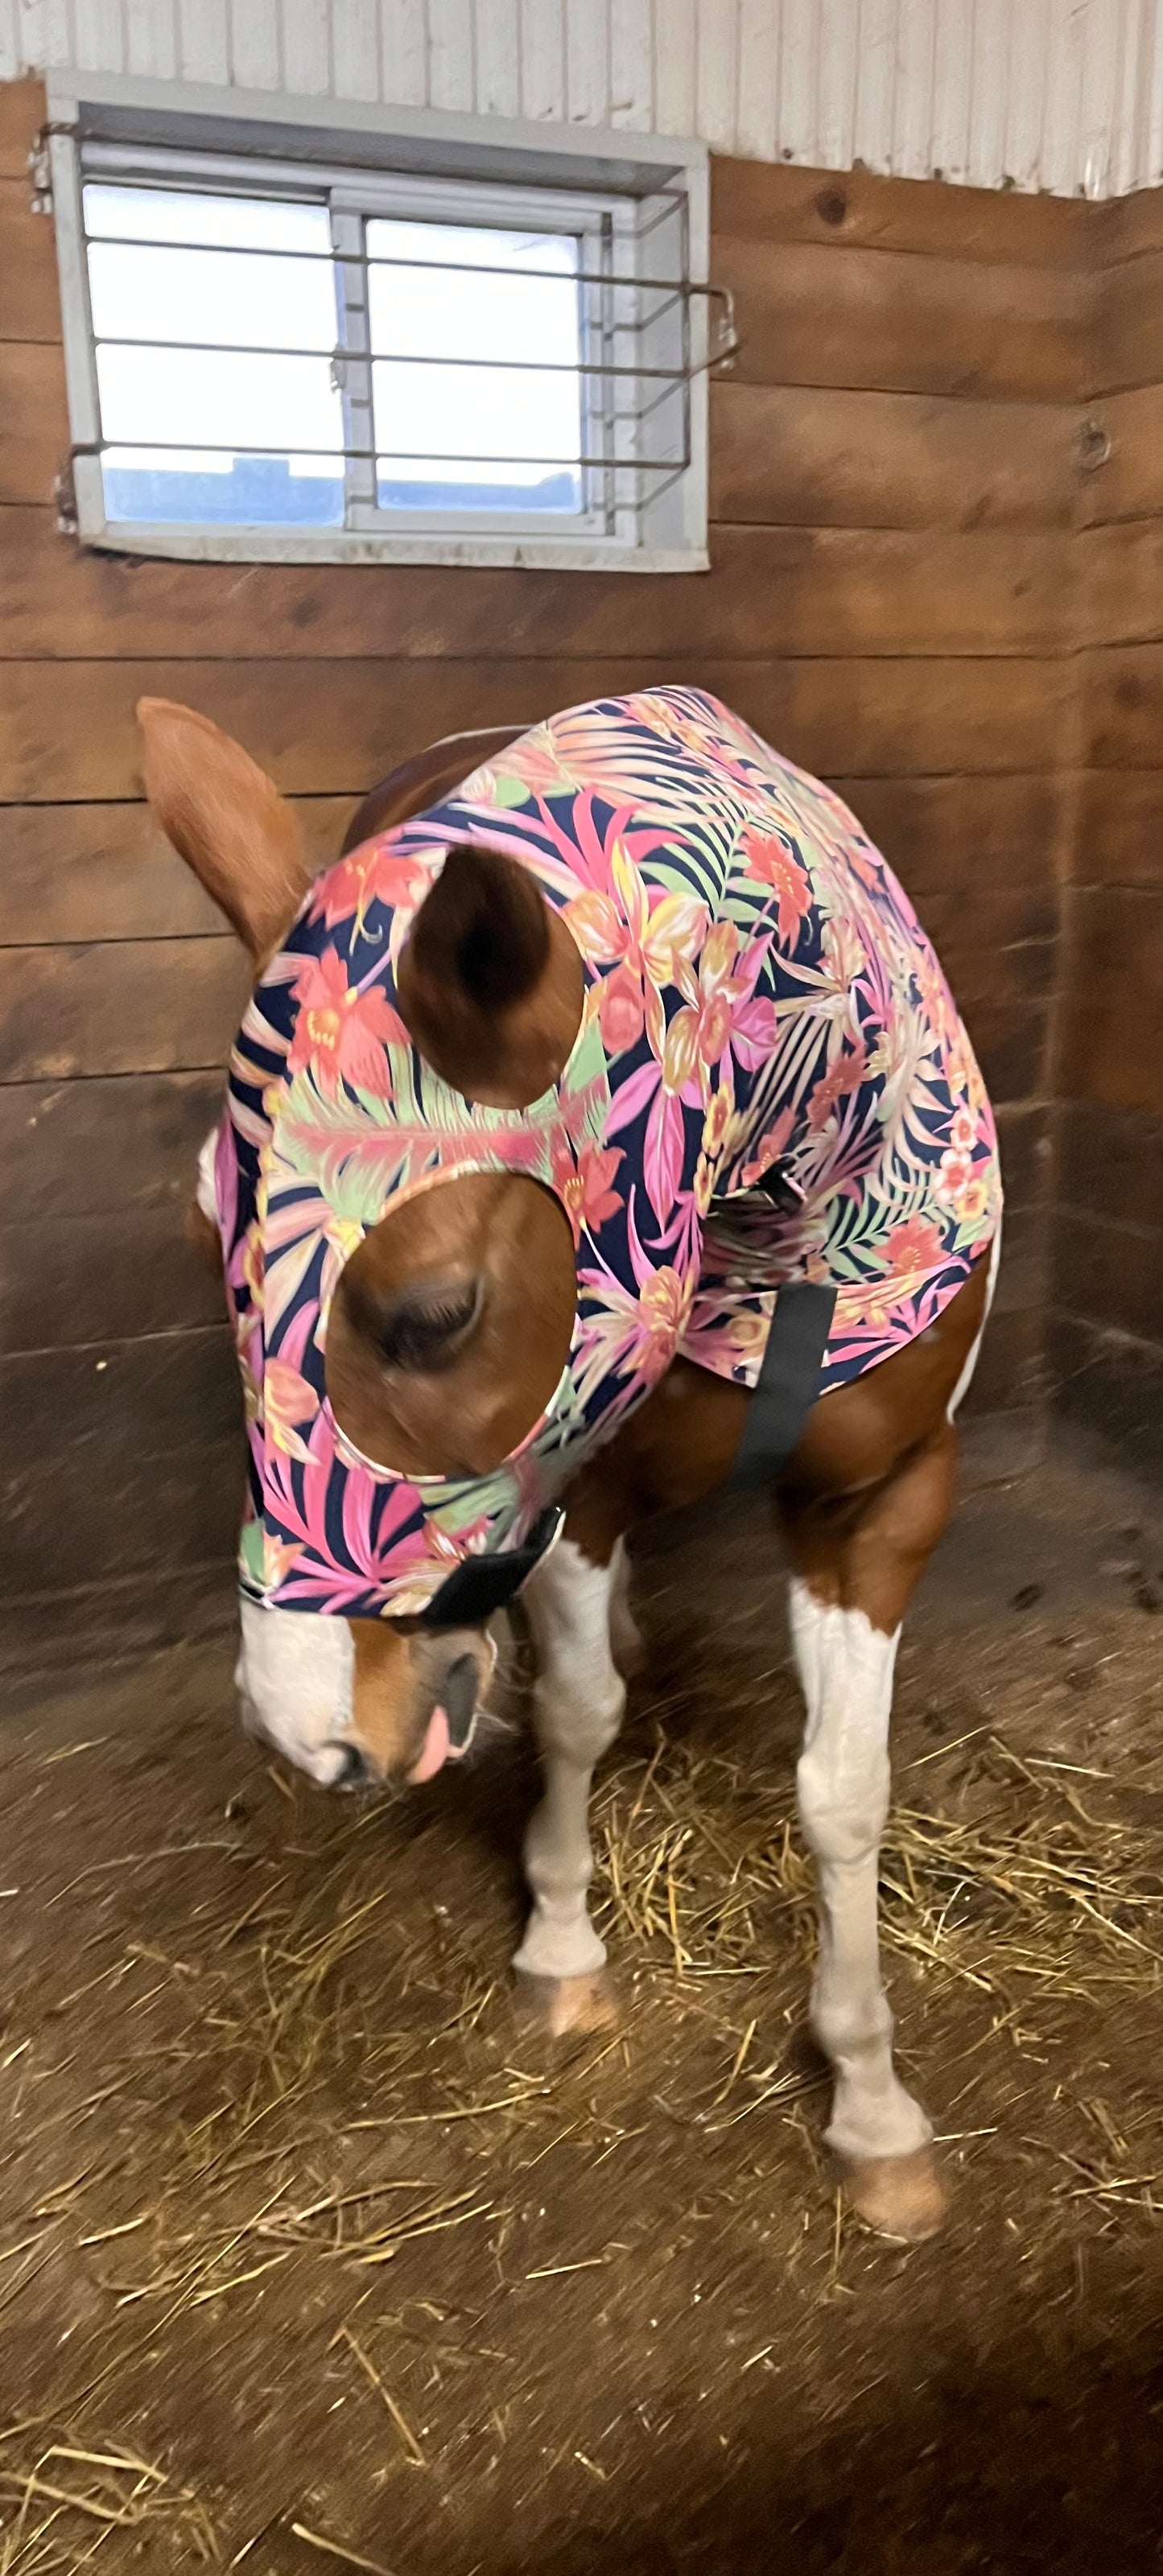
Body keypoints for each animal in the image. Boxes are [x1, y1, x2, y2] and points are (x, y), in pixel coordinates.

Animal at [139, 688, 1001, 2247]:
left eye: (435, 1314)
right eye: (204, 1255)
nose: (303, 1729)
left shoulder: (888, 1498)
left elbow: (845, 1790)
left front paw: (871, 2101)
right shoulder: (571, 1493)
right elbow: (581, 1713)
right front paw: (558, 1944)